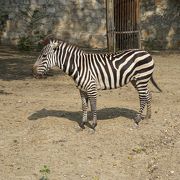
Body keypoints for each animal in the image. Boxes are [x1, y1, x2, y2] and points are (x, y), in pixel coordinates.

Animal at [32, 39, 162, 129]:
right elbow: (84, 106)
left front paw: (94, 124)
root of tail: (146, 52)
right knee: (148, 95)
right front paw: (83, 124)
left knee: (143, 97)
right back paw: (148, 116)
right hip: (136, 80)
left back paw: (137, 120)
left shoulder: (91, 87)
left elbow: (93, 105)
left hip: (141, 79)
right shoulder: (81, 89)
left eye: (44, 56)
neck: (79, 66)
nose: (33, 72)